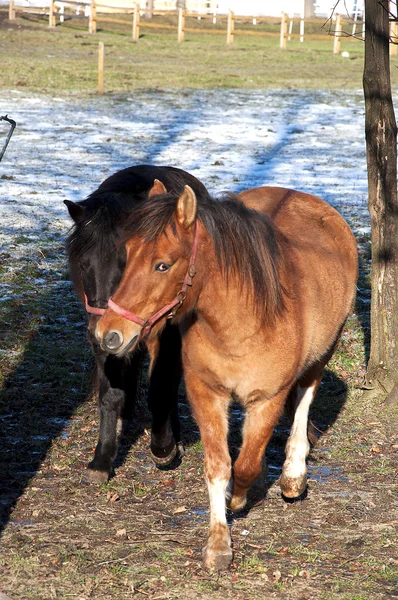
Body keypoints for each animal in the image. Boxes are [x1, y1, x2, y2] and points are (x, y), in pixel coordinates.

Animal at [65, 164, 208, 482]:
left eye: (124, 261)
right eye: (82, 264)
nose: (98, 332)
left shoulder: (167, 338)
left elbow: (161, 387)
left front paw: (164, 447)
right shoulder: (107, 338)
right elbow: (109, 394)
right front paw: (102, 459)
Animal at [92, 185, 358, 568]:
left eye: (162, 264)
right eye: (125, 255)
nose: (108, 334)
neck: (241, 321)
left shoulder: (267, 400)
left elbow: (246, 464)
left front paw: (240, 498)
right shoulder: (206, 394)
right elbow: (219, 466)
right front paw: (219, 543)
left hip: (323, 353)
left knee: (305, 397)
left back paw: (293, 474)